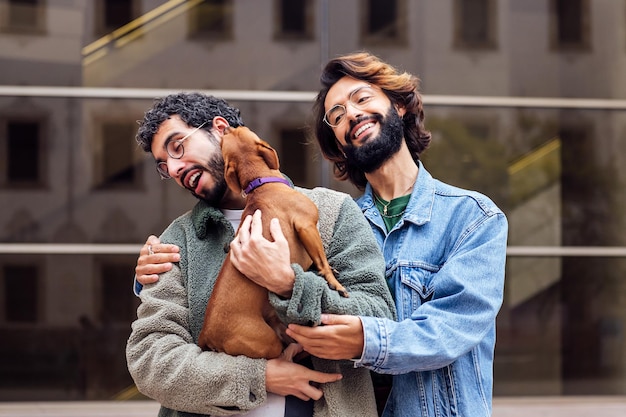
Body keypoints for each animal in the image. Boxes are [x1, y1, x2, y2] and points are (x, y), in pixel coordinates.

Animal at [197, 126, 348, 358]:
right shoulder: (306, 226)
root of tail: (206, 333)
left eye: (228, 136)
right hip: (267, 343)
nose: (227, 127)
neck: (261, 183)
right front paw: (334, 283)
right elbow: (321, 259)